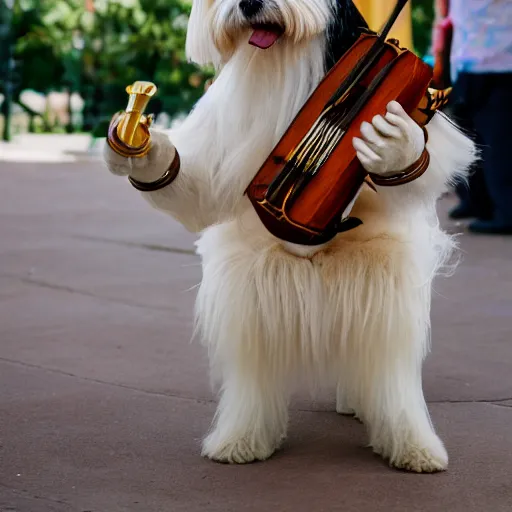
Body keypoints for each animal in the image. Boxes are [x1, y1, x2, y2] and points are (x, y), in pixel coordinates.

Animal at [103, 0, 476, 472]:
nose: (250, 5)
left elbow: (437, 159)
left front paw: (396, 150)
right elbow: (199, 179)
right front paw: (144, 149)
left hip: (381, 276)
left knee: (385, 357)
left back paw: (408, 441)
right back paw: (242, 437)